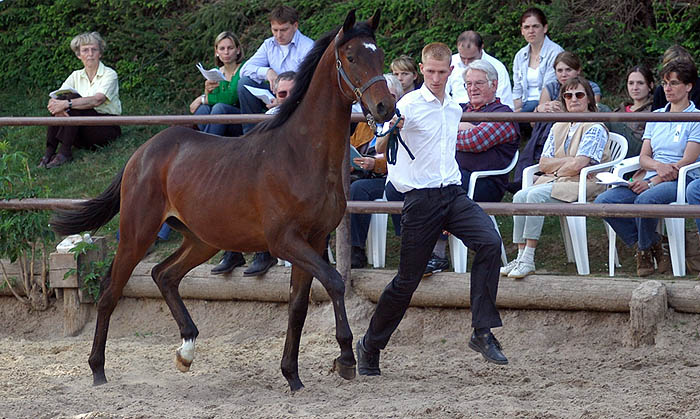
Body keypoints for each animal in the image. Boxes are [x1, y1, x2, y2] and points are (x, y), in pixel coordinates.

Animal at [50, 10, 394, 394]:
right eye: (351, 57)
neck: (300, 155)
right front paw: (346, 359)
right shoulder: (285, 241)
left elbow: (298, 307)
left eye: (380, 55)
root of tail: (142, 153)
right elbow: (334, 282)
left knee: (163, 274)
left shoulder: (315, 240)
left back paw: (186, 351)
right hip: (138, 233)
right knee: (112, 290)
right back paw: (98, 369)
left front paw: (292, 375)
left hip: (202, 239)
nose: (385, 106)